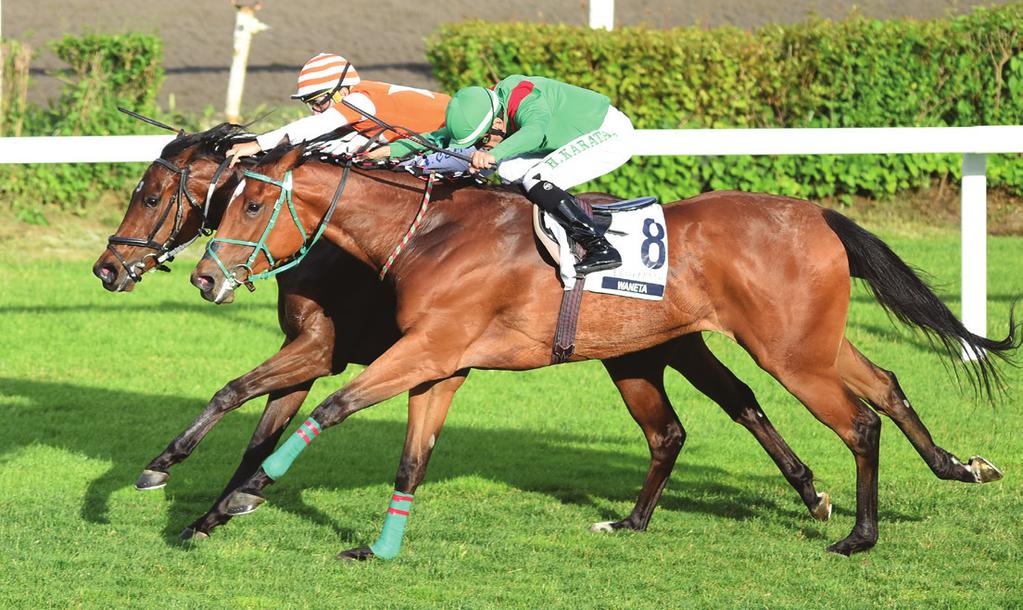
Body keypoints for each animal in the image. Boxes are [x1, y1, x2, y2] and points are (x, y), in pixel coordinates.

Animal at [92, 123, 830, 540]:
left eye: (151, 196)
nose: (107, 267)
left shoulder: (326, 350)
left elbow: (238, 394)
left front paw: (168, 473)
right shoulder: (313, 352)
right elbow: (257, 426)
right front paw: (219, 505)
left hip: (668, 344)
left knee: (736, 402)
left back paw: (812, 495)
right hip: (654, 346)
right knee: (732, 404)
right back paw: (808, 490)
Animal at [192, 142, 1014, 556]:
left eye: (254, 202)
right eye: (222, 200)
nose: (203, 276)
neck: (431, 232)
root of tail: (814, 214)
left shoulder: (427, 349)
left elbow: (329, 408)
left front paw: (240, 494)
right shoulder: (440, 363)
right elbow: (411, 457)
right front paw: (377, 549)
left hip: (789, 352)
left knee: (859, 421)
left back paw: (859, 535)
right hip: (795, 343)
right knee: (882, 383)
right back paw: (958, 466)